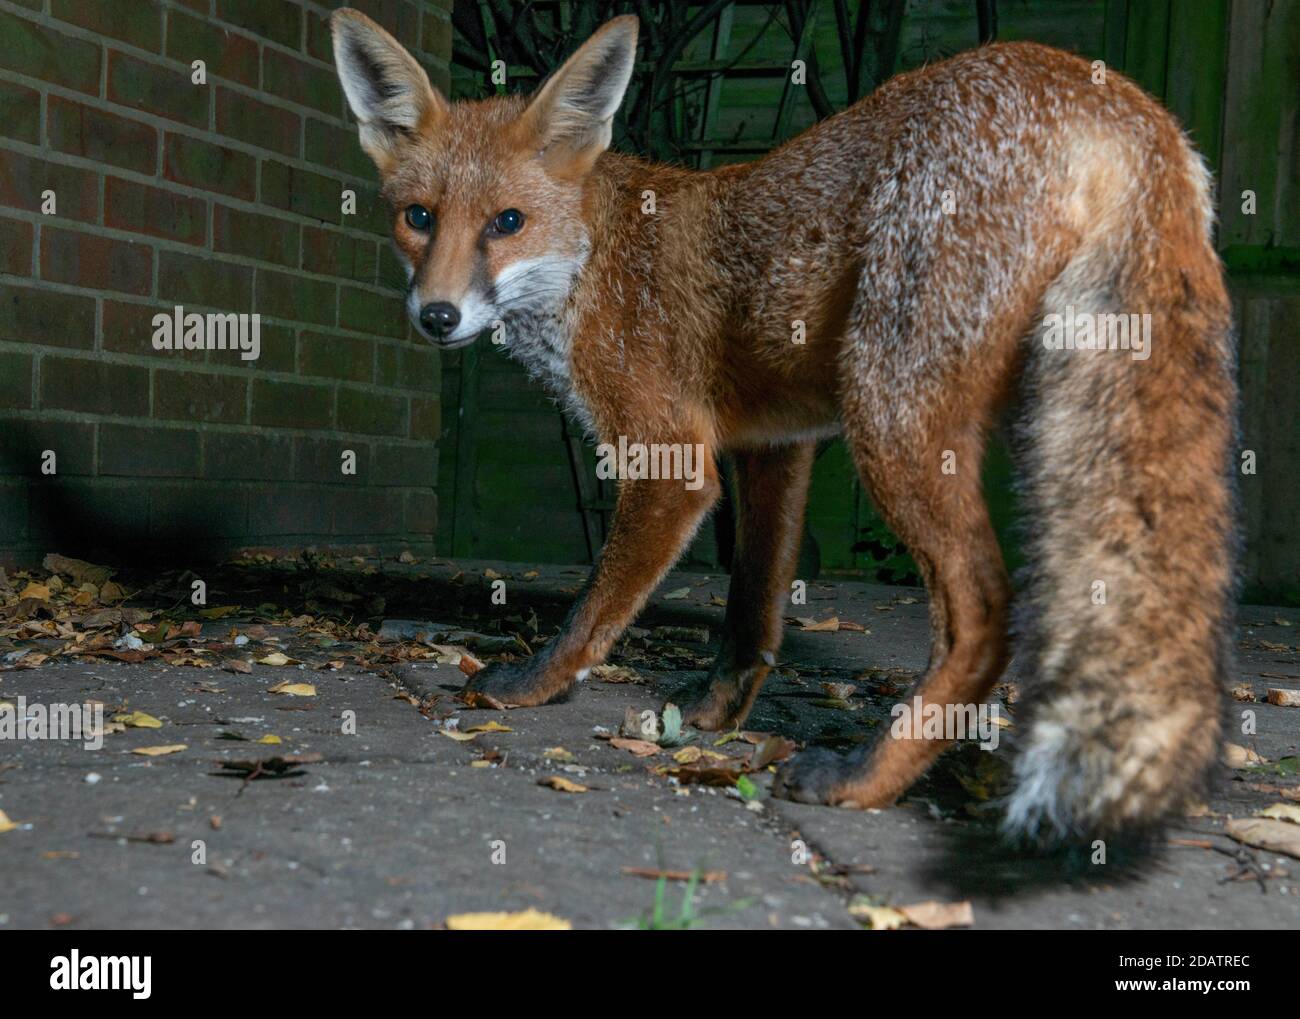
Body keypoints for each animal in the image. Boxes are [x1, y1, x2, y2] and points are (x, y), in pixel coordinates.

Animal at [330, 7, 1232, 842]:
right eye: (418, 217)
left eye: (508, 222)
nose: (437, 316)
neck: (591, 257)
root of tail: (1111, 95)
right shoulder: (775, 446)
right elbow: (753, 608)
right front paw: (714, 715)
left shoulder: (672, 457)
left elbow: (593, 609)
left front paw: (531, 685)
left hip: (888, 404)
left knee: (982, 613)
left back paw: (866, 776)